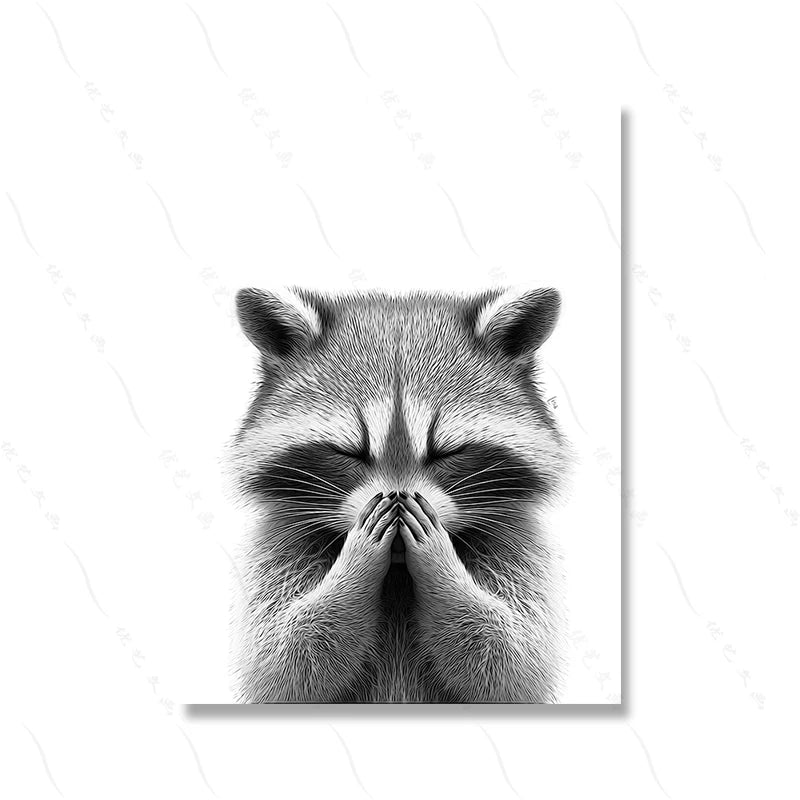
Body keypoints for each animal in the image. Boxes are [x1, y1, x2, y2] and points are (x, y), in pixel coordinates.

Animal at [227, 286, 571, 703]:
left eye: (448, 452)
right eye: (348, 452)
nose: (397, 499)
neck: (397, 572)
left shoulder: (519, 547)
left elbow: (512, 661)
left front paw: (440, 564)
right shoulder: (277, 547)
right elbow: (283, 662)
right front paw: (356, 563)